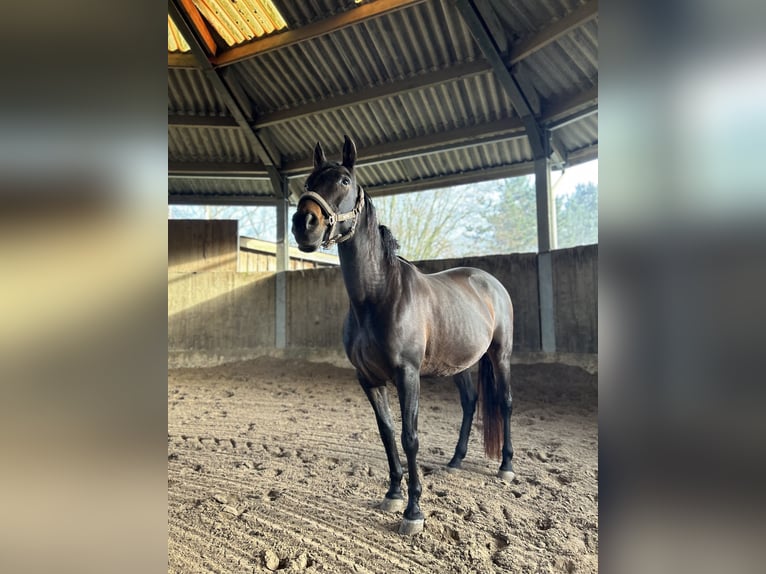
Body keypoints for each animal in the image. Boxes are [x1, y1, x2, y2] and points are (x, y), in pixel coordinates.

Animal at [292, 137, 516, 536]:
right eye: (308, 182)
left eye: (344, 181)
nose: (304, 224)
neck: (378, 296)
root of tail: (490, 281)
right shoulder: (368, 379)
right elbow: (387, 433)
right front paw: (393, 494)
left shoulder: (407, 376)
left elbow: (410, 437)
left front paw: (413, 512)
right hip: (462, 364)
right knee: (470, 403)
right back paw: (455, 461)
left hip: (500, 355)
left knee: (504, 402)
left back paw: (506, 467)